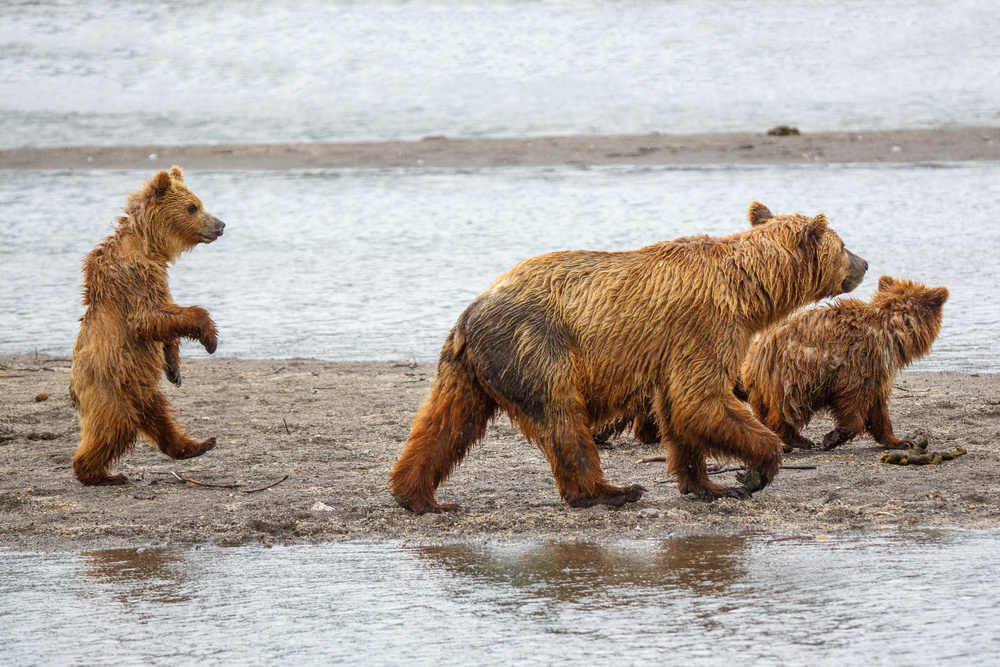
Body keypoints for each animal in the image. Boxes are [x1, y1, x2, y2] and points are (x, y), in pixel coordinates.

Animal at [70, 168, 227, 486]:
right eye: (193, 207)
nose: (220, 224)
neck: (149, 246)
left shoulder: (157, 278)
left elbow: (166, 322)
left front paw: (175, 369)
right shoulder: (135, 277)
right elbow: (149, 319)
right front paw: (210, 337)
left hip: (142, 388)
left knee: (161, 418)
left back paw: (197, 445)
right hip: (110, 390)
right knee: (115, 427)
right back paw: (100, 474)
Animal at [390, 202, 868, 512]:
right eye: (843, 243)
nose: (864, 263)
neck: (749, 291)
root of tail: (470, 315)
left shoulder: (678, 348)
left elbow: (681, 411)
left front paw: (709, 485)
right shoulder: (705, 327)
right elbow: (703, 400)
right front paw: (755, 470)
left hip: (470, 368)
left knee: (445, 423)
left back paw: (418, 496)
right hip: (537, 346)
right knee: (562, 419)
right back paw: (611, 492)